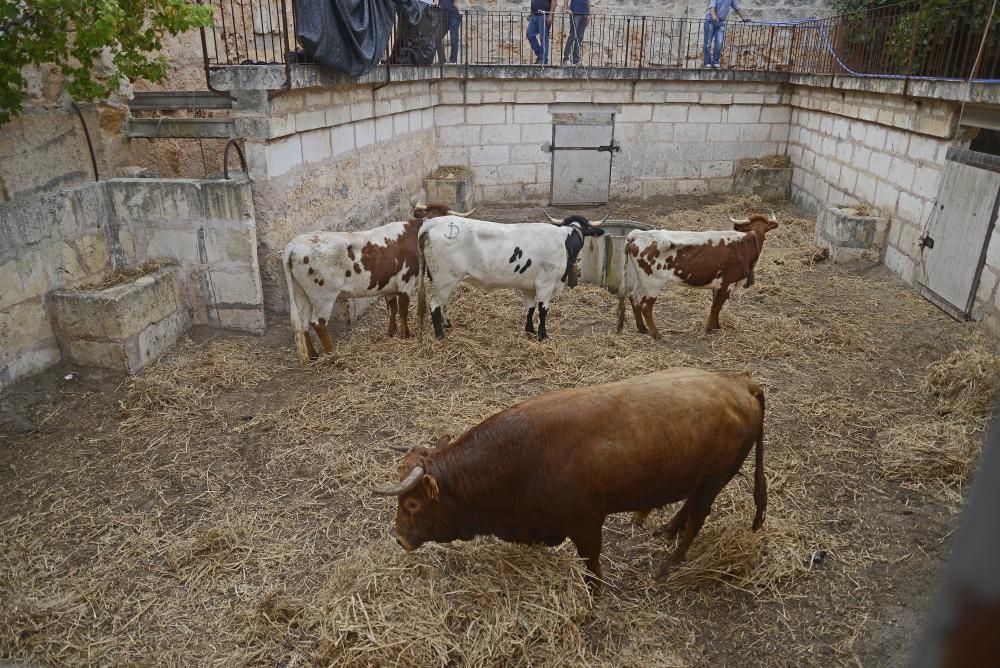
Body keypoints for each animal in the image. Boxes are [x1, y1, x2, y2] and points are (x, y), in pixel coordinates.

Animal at [280, 202, 470, 366]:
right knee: (318, 323)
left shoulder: (390, 287)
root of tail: (295, 244)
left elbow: (393, 308)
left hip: (302, 294)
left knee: (303, 322)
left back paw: (313, 355)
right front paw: (406, 335)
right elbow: (403, 310)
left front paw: (392, 332)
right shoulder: (406, 283)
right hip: (323, 297)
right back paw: (333, 355)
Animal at [376, 368, 764, 588]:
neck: (521, 456)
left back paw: (669, 563)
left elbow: (591, 562)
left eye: (412, 503)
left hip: (713, 480)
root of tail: (739, 384)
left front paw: (596, 592)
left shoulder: (587, 523)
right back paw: (667, 529)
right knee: (687, 507)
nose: (399, 538)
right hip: (704, 479)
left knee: (697, 519)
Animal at [416, 213, 604, 342]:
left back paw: (447, 325)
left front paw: (530, 330)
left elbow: (530, 309)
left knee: (442, 303)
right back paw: (440, 335)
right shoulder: (545, 284)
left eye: (583, 232)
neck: (563, 242)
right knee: (435, 305)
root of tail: (432, 222)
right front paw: (542, 335)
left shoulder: (530, 286)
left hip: (444, 281)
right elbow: (543, 311)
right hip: (445, 279)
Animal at [616, 213, 780, 340]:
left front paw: (717, 326)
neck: (744, 245)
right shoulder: (727, 283)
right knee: (646, 307)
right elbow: (716, 307)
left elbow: (717, 307)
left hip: (642, 280)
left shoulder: (718, 285)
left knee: (634, 298)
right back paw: (656, 335)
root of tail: (637, 234)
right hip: (653, 283)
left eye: (764, 228)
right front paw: (708, 329)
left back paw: (642, 329)